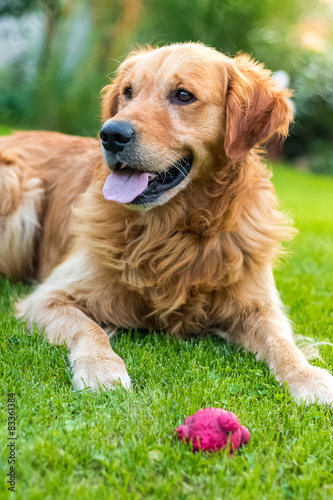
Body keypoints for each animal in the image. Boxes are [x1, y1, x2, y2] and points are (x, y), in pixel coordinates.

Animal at [0, 41, 330, 404]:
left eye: (183, 95)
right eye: (128, 92)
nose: (110, 134)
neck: (175, 230)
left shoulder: (258, 304)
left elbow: (282, 341)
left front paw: (308, 376)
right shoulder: (48, 298)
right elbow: (89, 327)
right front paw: (102, 367)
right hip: (17, 184)